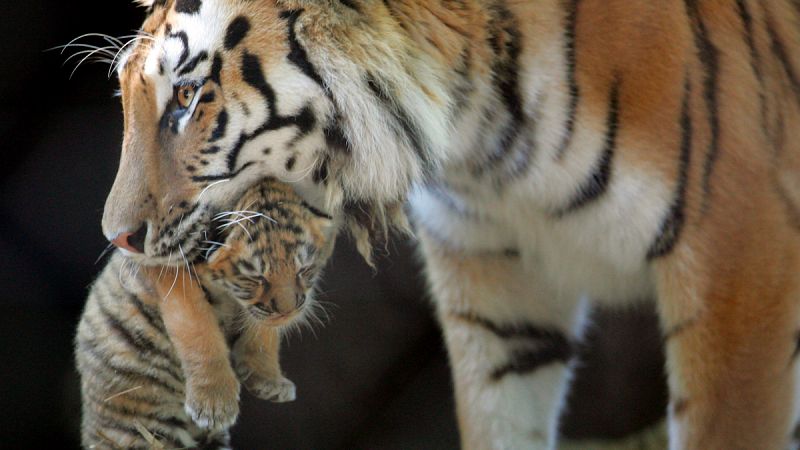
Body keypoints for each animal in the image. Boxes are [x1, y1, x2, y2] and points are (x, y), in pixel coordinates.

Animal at [76, 177, 335, 449]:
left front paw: (269, 380)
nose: (287, 312)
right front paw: (214, 407)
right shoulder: (172, 275)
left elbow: (262, 330)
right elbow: (199, 333)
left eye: (304, 270)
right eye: (255, 277)